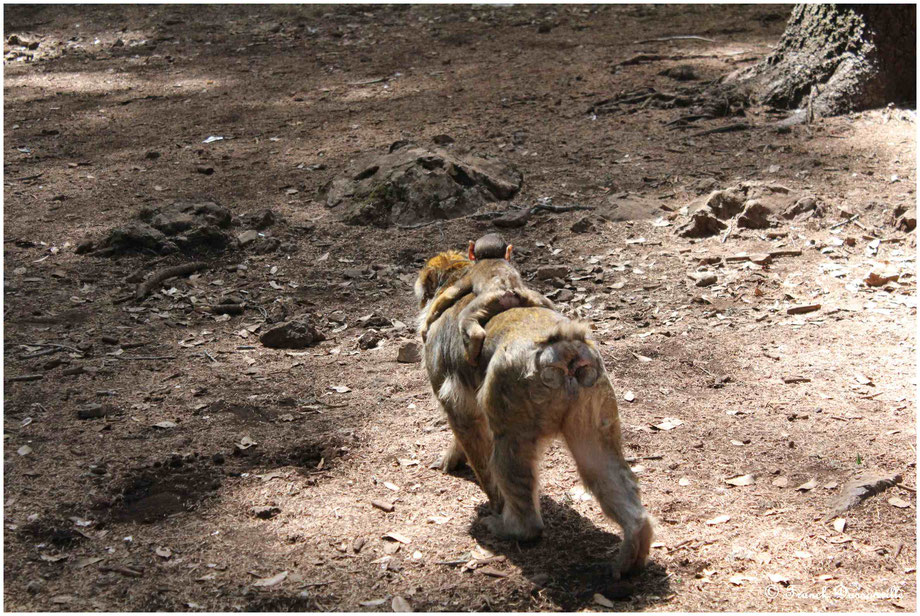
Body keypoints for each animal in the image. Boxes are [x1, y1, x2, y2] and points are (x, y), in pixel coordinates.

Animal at [418, 233, 552, 364]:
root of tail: (509, 292)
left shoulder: (469, 274)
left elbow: (451, 293)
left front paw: (425, 326)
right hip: (529, 298)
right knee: (548, 304)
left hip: (489, 300)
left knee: (467, 318)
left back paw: (472, 352)